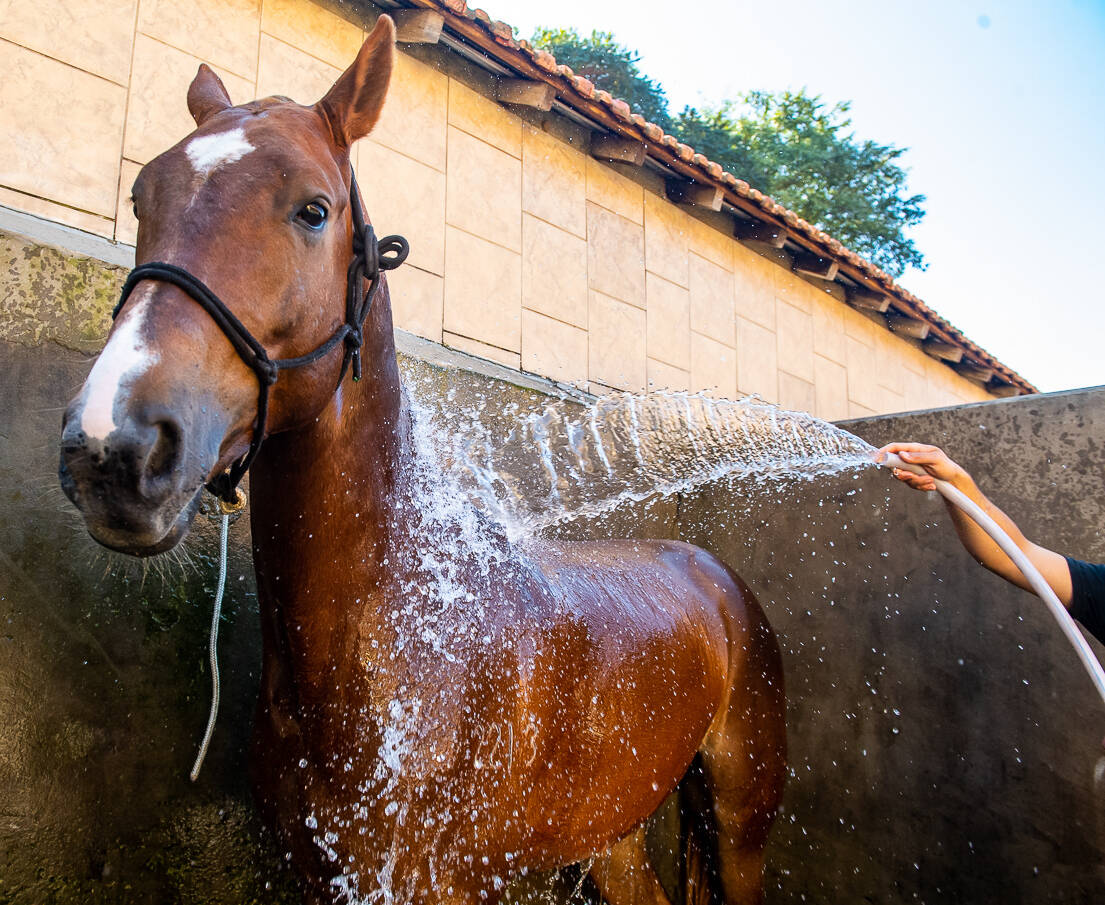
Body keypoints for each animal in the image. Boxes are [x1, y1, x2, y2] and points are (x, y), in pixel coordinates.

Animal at [58, 15, 786, 905]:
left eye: (313, 209)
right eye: (143, 197)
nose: (111, 446)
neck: (392, 632)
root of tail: (713, 573)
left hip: (739, 827)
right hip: (609, 835)